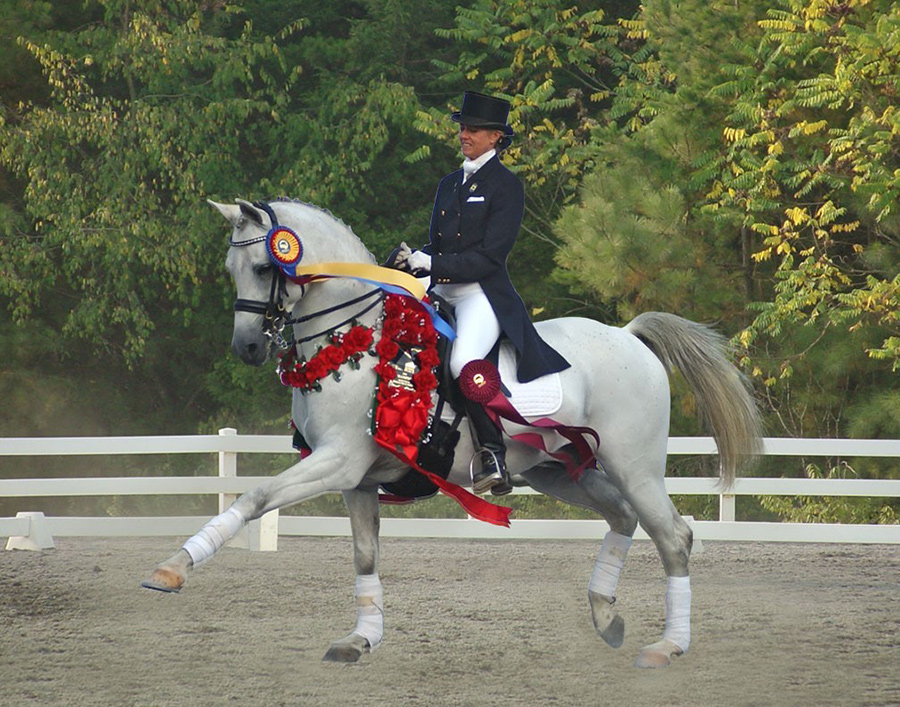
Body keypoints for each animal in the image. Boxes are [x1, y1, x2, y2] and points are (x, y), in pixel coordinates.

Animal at [143, 198, 762, 669]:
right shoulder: (357, 480)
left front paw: (172, 569)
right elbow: (364, 556)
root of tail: (629, 335)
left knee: (673, 536)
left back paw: (667, 646)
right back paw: (606, 616)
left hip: (634, 465)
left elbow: (254, 496)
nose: (247, 347)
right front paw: (362, 638)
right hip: (560, 471)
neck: (355, 340)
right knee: (624, 518)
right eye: (232, 270)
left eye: (265, 268)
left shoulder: (338, 460)